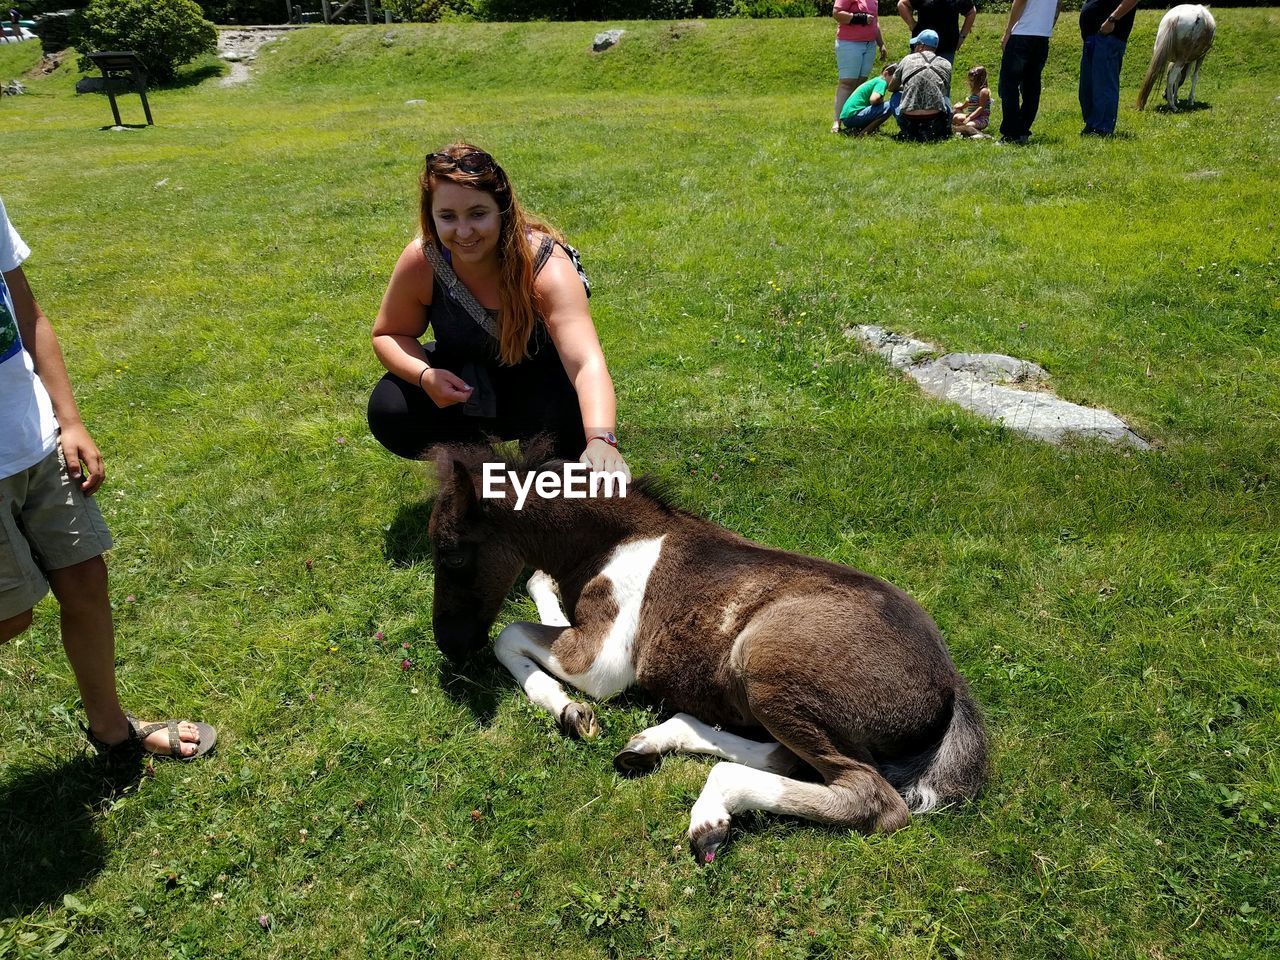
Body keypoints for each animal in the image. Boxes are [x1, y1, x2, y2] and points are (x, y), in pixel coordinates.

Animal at [430, 450, 988, 865]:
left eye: (452, 553)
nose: (449, 644)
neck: (614, 543)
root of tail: (950, 686)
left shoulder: (600, 661)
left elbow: (509, 633)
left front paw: (572, 712)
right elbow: (537, 590)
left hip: (765, 661)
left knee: (871, 797)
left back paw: (712, 812)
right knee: (785, 756)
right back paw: (653, 743)